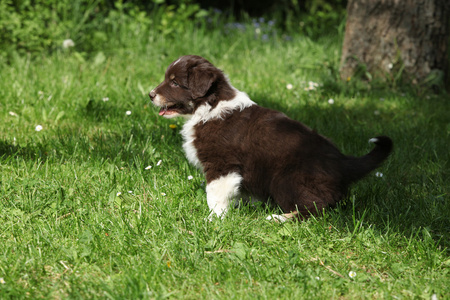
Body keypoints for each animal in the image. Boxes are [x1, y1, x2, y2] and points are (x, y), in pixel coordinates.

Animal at [149, 55, 392, 221]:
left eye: (175, 83)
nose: (150, 95)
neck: (210, 106)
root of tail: (342, 162)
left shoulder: (222, 164)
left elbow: (215, 195)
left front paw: (213, 219)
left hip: (287, 179)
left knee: (315, 208)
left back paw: (278, 218)